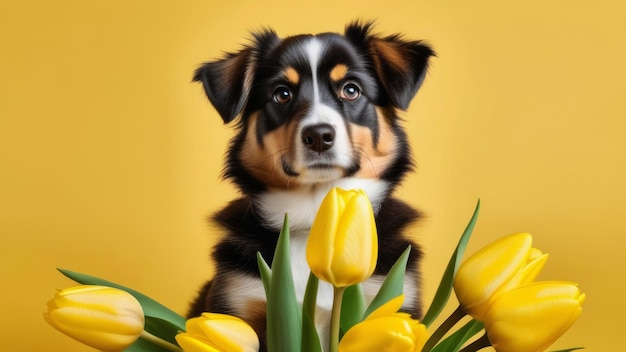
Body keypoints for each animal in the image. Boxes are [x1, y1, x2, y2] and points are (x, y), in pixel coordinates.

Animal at [189, 21, 434, 350]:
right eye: (282, 94)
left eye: (351, 90)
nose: (318, 136)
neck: (316, 216)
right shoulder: (238, 298)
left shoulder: (395, 304)